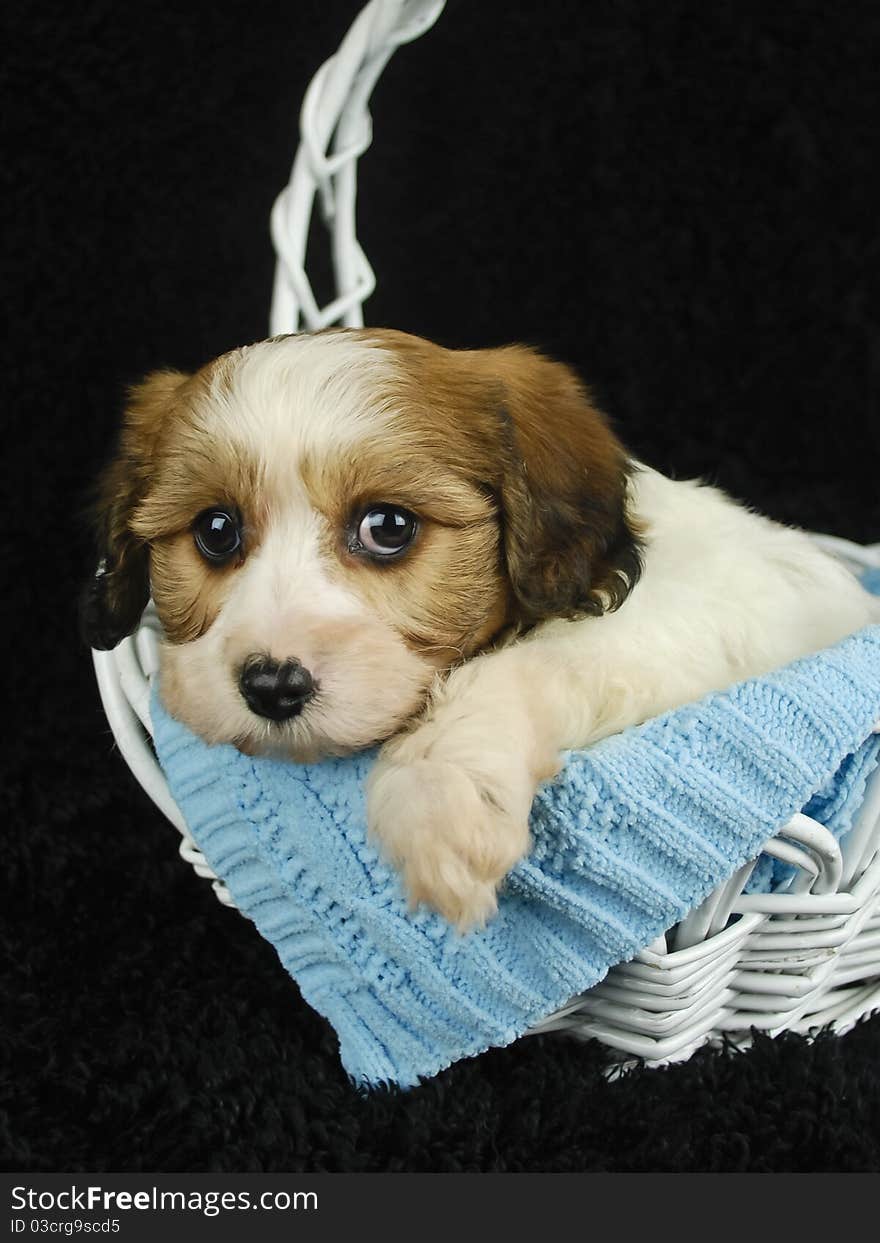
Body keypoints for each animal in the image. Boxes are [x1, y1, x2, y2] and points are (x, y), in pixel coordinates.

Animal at [82, 325, 879, 929]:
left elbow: (520, 666)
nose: (272, 686)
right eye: (216, 531)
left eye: (388, 527)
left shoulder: (674, 632)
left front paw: (440, 793)